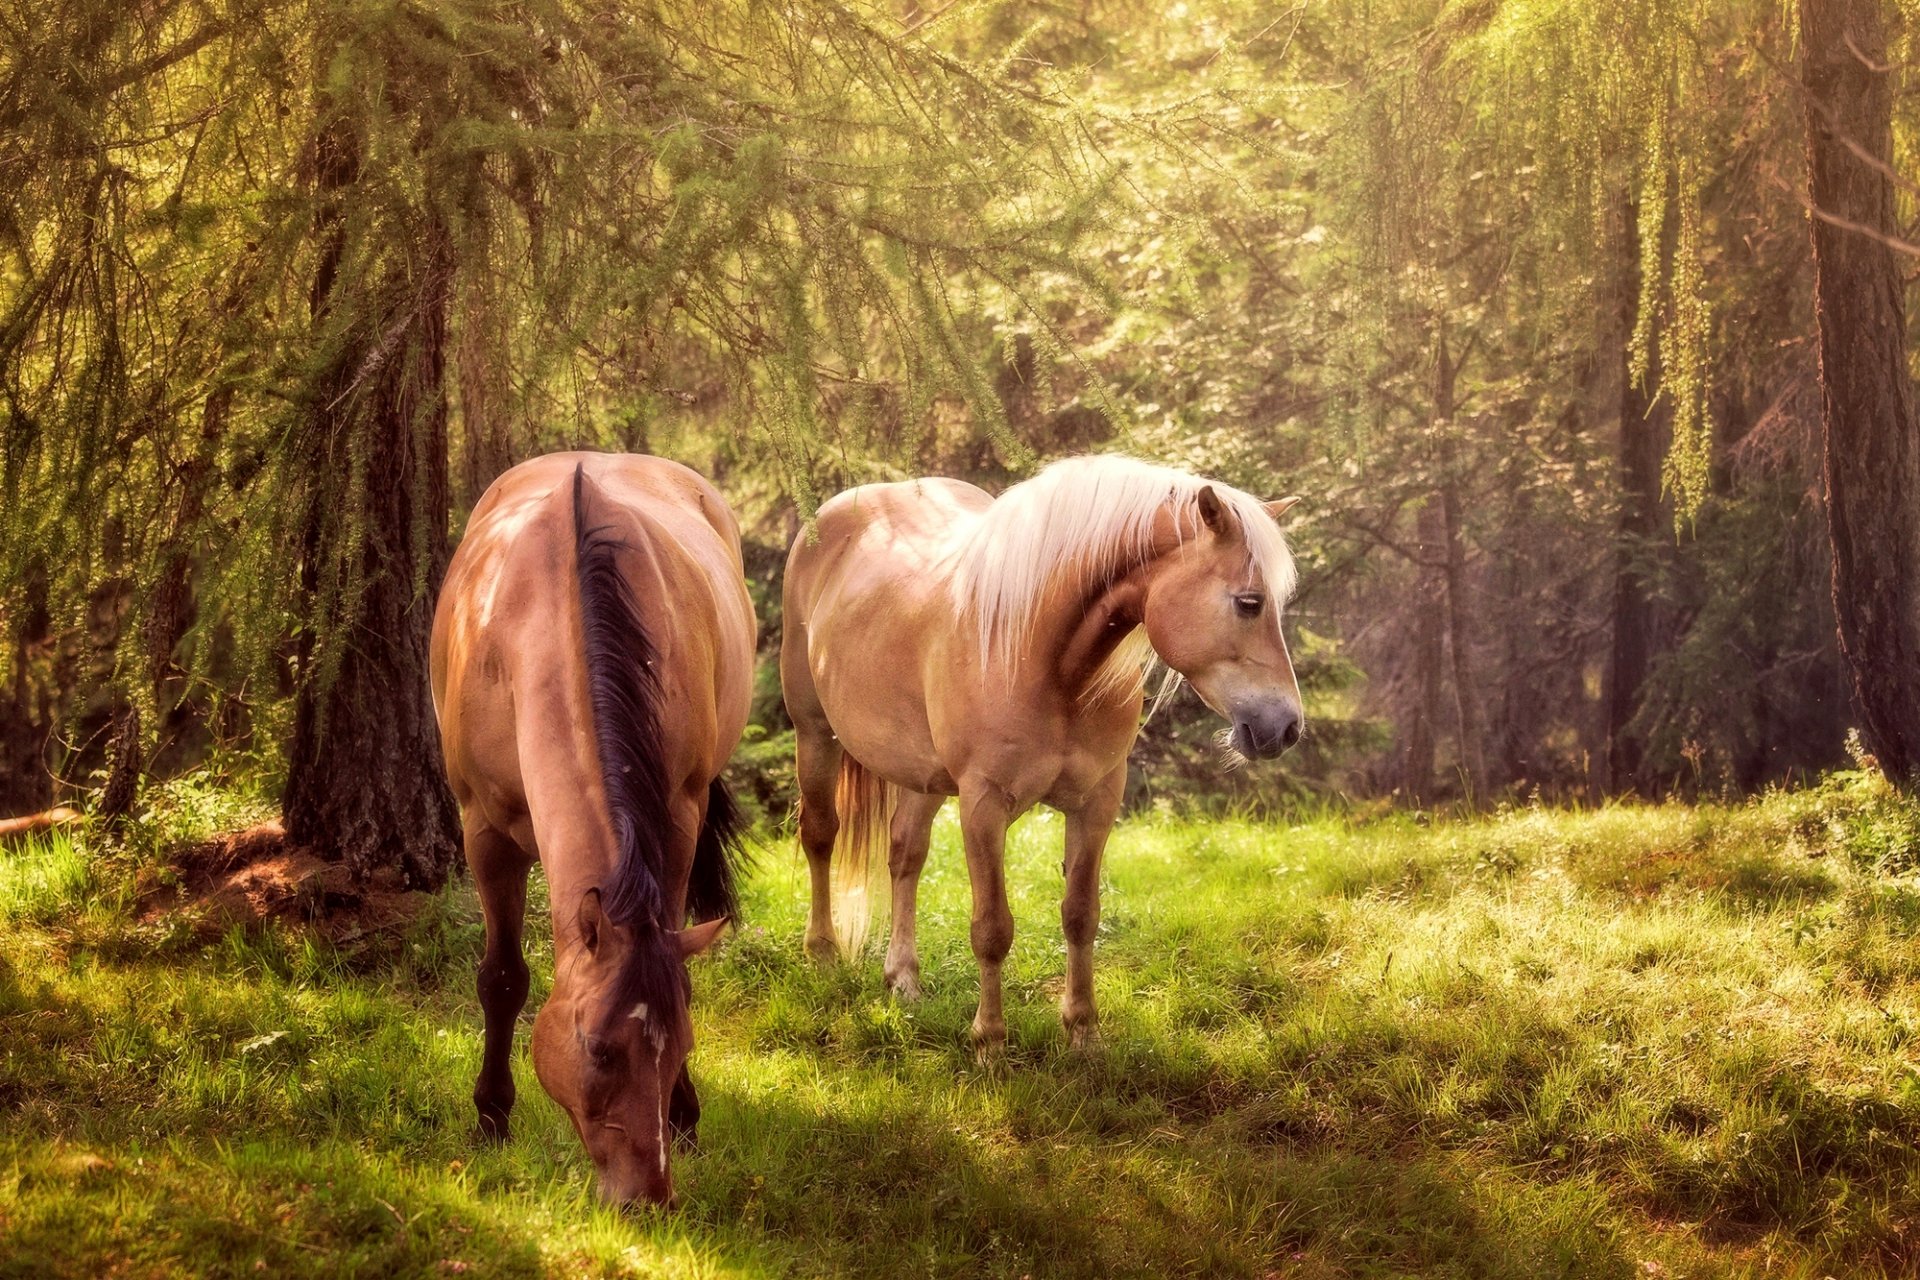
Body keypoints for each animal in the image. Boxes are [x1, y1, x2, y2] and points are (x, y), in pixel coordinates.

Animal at [430, 452, 754, 1206]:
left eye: (682, 1045)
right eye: (600, 1050)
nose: (650, 1198)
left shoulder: (679, 816)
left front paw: (685, 1116)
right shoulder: (483, 831)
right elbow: (503, 978)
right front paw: (491, 1118)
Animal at [781, 454, 1301, 1052]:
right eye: (1249, 603)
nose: (1287, 726)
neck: (1045, 658)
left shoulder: (1097, 801)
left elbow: (1081, 915)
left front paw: (1084, 1032)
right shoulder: (983, 805)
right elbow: (991, 928)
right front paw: (990, 1043)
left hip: (923, 774)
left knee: (904, 854)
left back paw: (903, 978)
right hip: (814, 734)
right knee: (820, 835)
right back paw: (822, 955)